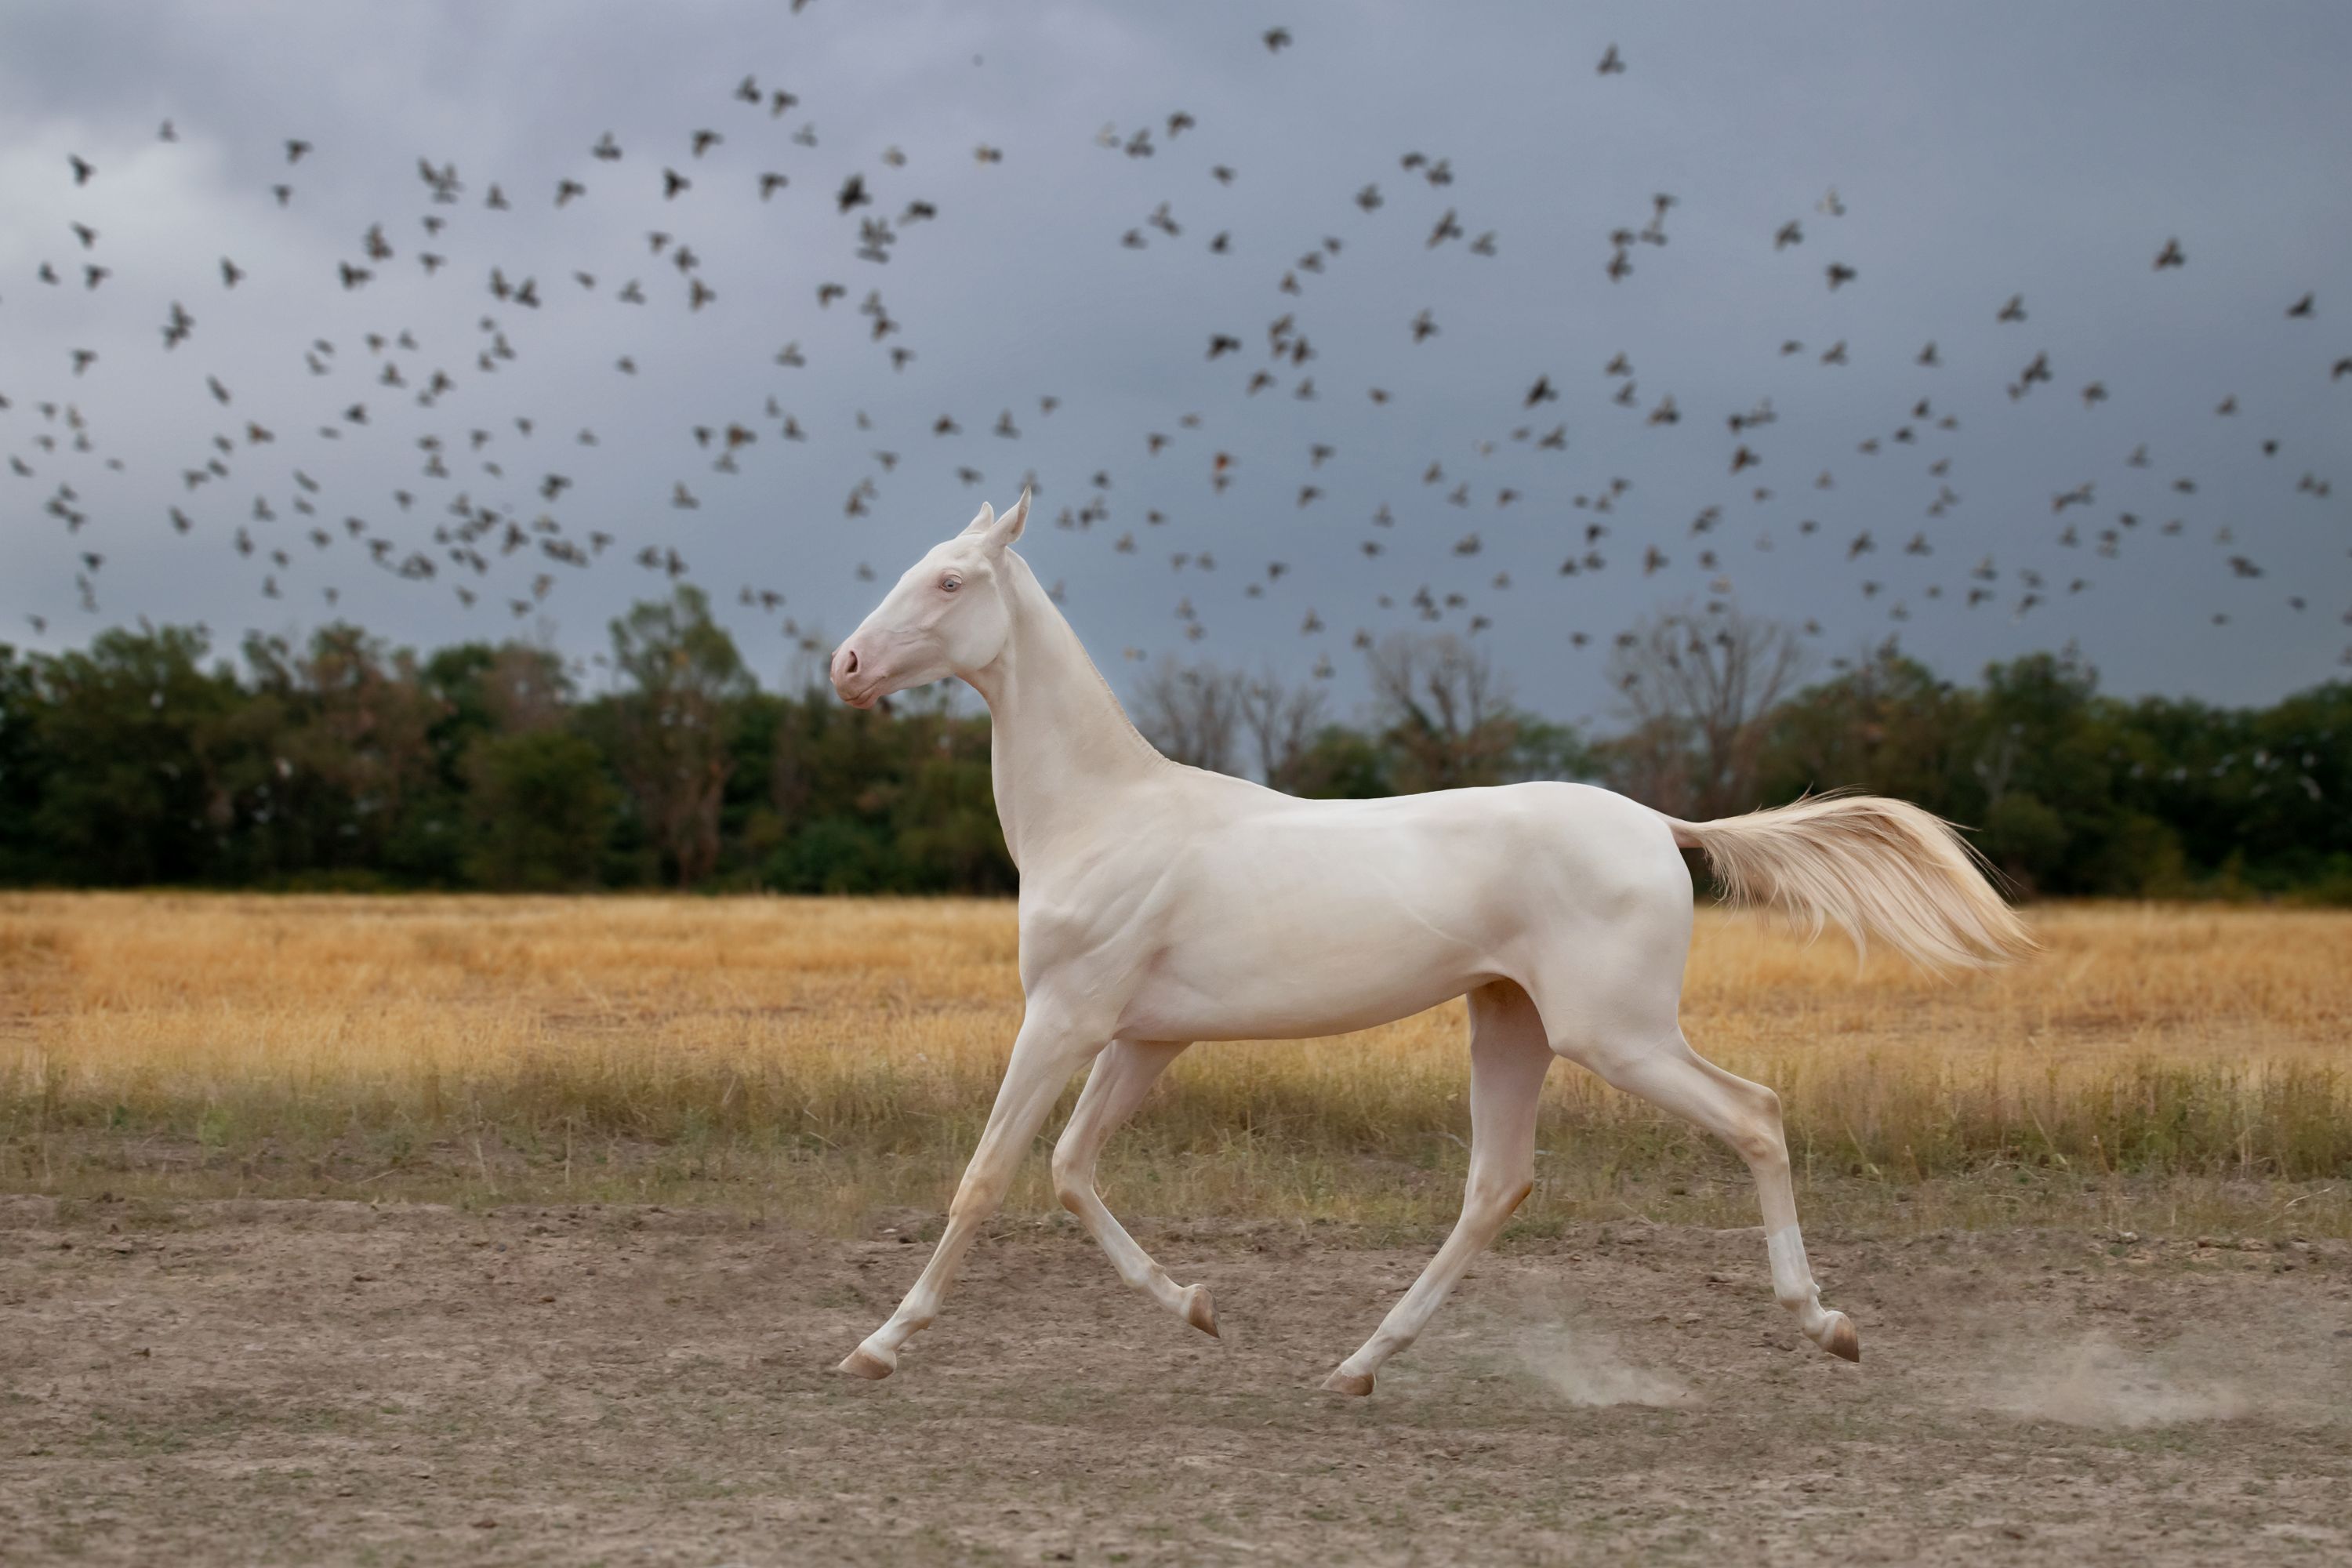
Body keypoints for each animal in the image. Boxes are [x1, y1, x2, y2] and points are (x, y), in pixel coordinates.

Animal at [823, 493, 2023, 1401]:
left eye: (949, 582)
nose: (845, 666)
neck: (1104, 816)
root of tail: (1659, 824)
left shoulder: (1064, 1019)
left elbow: (984, 1177)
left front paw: (875, 1347)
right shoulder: (1144, 1038)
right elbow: (1072, 1171)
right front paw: (1198, 1307)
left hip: (1616, 1034)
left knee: (1756, 1115)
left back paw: (1827, 1325)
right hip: (1512, 1025)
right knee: (1498, 1184)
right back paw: (1358, 1364)